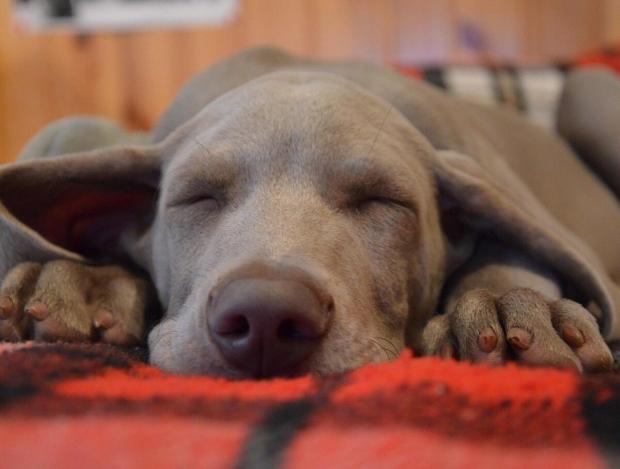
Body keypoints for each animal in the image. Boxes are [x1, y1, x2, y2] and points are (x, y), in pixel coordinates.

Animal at [1, 48, 620, 376]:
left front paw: (506, 307)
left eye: (382, 200)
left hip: (588, 90)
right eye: (197, 197)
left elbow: (513, 244)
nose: (265, 317)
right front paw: (86, 284)